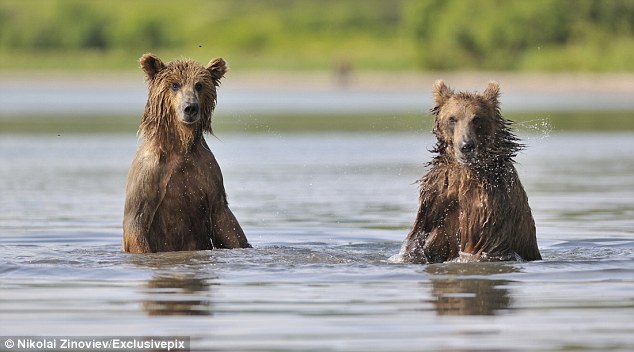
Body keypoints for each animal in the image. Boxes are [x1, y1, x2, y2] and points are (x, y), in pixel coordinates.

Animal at [122, 53, 251, 253]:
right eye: (175, 85)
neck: (180, 145)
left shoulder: (208, 172)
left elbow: (225, 222)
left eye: (199, 85)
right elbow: (136, 222)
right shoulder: (149, 173)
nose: (190, 107)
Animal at [396, 81, 540, 262]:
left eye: (476, 118)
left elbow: (485, 247)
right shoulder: (438, 201)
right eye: (452, 119)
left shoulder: (490, 207)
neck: (464, 175)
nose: (466, 146)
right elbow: (417, 242)